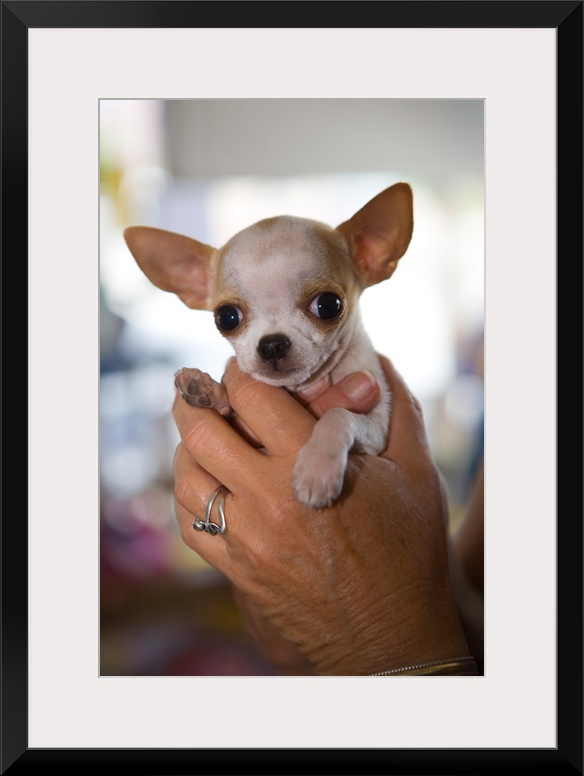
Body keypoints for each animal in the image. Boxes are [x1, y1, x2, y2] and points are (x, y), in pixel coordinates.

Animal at [124, 182, 414, 508]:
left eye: (329, 305)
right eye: (226, 317)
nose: (272, 345)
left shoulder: (377, 429)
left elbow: (338, 415)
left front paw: (317, 466)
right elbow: (229, 410)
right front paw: (208, 390)